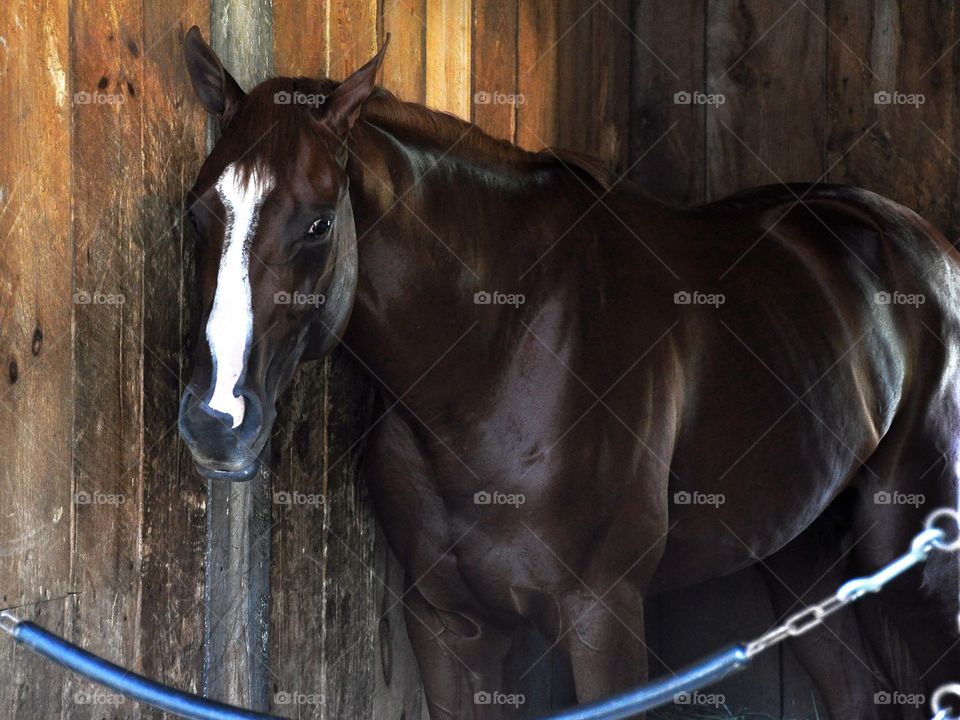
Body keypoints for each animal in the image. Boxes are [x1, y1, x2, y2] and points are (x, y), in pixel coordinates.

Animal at [176, 26, 960, 720]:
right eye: (196, 211)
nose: (217, 420)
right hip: (802, 555)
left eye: (317, 224)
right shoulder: (448, 626)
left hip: (921, 564)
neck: (492, 360)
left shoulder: (603, 617)